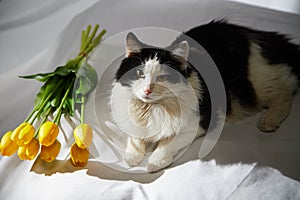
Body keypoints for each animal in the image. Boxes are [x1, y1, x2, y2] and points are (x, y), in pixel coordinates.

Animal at [110, 19, 300, 171]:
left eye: (162, 77)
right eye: (139, 73)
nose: (148, 90)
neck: (152, 108)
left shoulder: (198, 123)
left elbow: (167, 143)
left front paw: (155, 162)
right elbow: (135, 137)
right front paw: (133, 155)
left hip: (258, 81)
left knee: (287, 89)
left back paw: (269, 121)